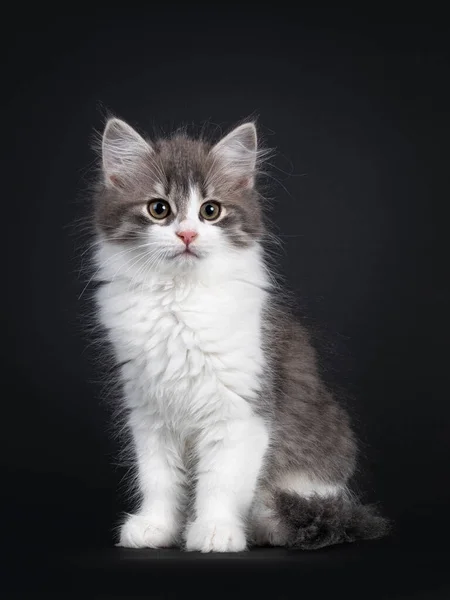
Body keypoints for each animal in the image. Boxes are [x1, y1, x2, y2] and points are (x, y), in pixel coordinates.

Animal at [90, 117, 386, 552]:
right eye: (159, 209)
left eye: (210, 211)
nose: (188, 235)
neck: (180, 299)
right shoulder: (149, 411)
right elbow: (158, 478)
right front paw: (157, 526)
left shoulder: (239, 409)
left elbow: (221, 481)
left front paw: (215, 530)